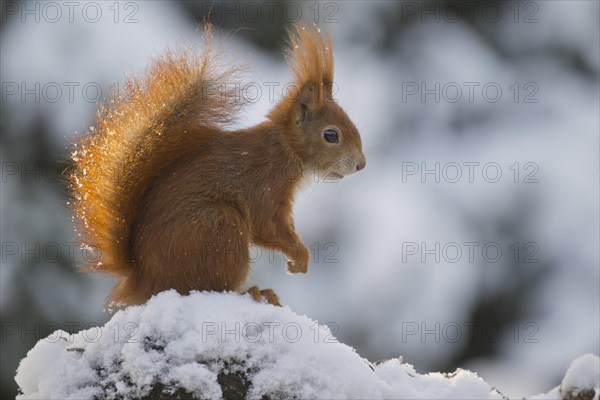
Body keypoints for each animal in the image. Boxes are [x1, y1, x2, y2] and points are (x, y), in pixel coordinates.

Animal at [70, 24, 366, 306]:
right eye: (331, 135)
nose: (361, 165)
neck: (285, 150)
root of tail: (143, 280)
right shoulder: (266, 184)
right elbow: (267, 225)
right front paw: (300, 257)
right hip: (220, 228)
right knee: (212, 286)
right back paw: (255, 292)